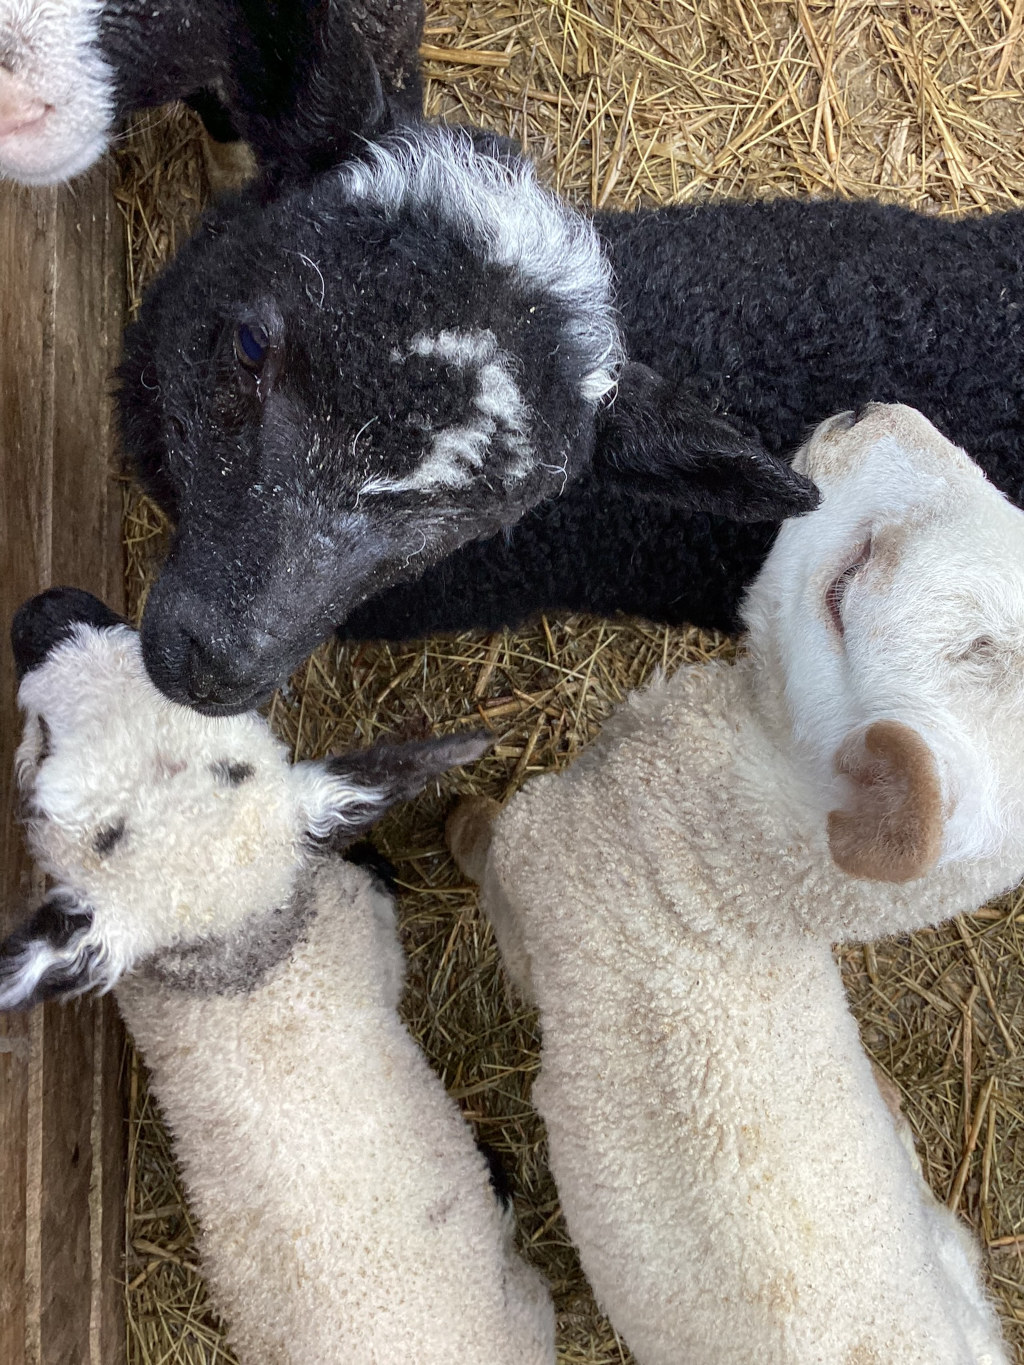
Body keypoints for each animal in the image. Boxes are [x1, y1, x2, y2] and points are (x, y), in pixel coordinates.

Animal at [447, 404, 1023, 1365]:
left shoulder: (533, 879)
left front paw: (447, 819)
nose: (867, 411)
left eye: (845, 586)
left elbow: (486, 855)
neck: (713, 900)